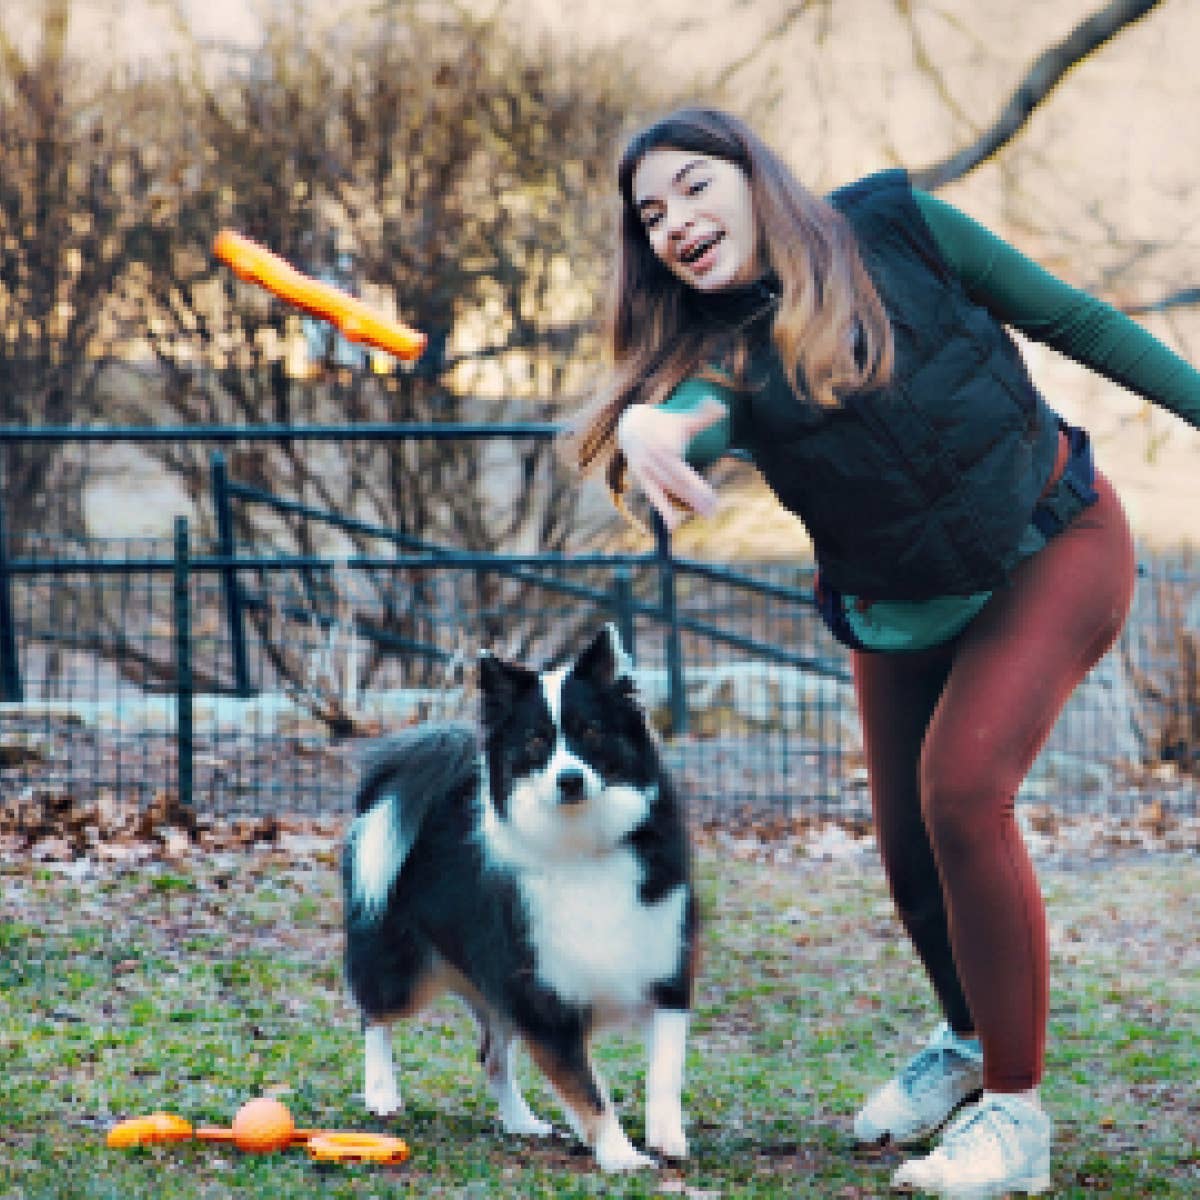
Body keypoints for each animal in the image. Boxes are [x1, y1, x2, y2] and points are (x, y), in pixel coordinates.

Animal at [340, 624, 696, 1166]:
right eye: (535, 741)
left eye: (590, 732)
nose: (569, 780)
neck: (579, 845)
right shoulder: (544, 999)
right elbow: (588, 1088)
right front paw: (619, 1155)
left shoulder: (666, 972)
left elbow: (663, 1070)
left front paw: (664, 1135)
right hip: (406, 969)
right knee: (375, 1014)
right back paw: (382, 1091)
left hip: (497, 987)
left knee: (491, 1057)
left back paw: (521, 1121)